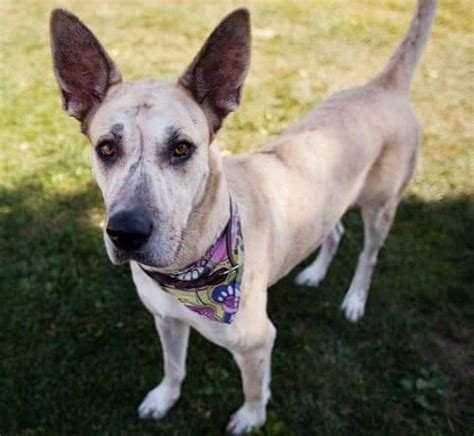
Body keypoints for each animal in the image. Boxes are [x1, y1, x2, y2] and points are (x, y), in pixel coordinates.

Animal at [49, 1, 436, 432]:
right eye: (106, 148)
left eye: (182, 148)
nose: (126, 233)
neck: (190, 269)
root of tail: (383, 86)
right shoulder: (166, 320)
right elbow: (173, 367)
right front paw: (164, 398)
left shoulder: (257, 342)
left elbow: (253, 387)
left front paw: (251, 417)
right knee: (334, 231)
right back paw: (315, 273)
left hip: (380, 206)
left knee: (368, 255)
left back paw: (354, 300)